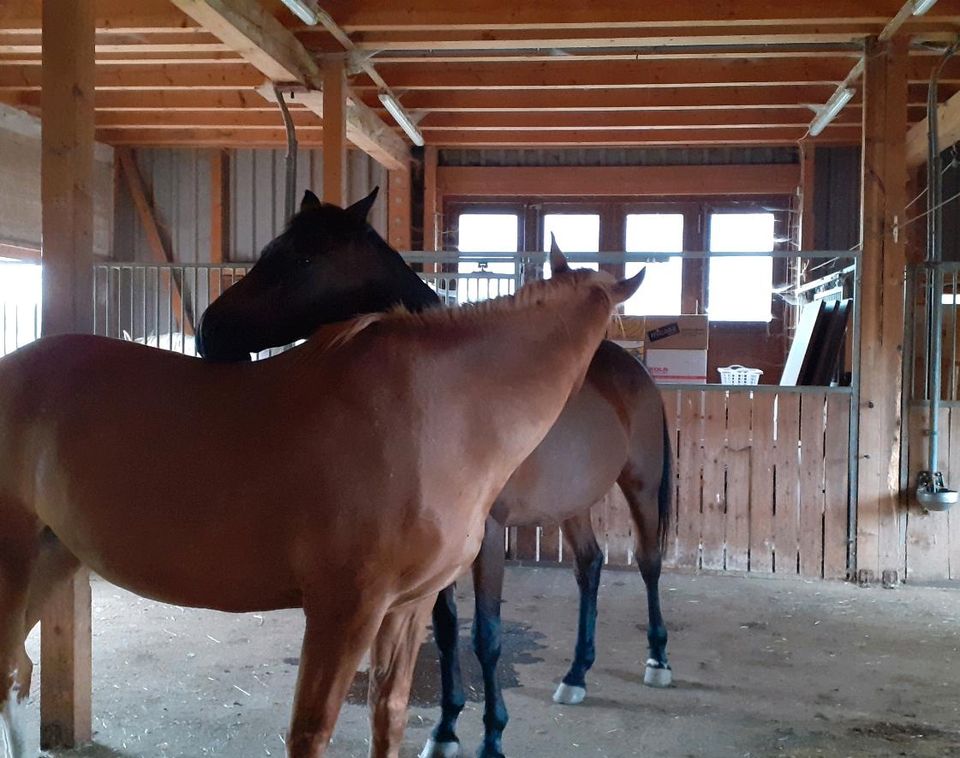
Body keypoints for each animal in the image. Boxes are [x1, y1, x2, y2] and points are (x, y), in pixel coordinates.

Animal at [1, 258, 644, 756]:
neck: (441, 410)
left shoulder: (408, 607)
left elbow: (389, 714)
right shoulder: (344, 609)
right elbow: (311, 733)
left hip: (53, 557)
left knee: (11, 673)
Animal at [199, 191, 672, 758]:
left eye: (306, 258)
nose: (209, 331)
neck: (462, 388)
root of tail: (633, 369)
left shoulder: (487, 534)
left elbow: (485, 635)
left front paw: (491, 736)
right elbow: (446, 632)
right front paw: (446, 728)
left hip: (642, 485)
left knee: (648, 563)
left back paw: (657, 660)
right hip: (573, 503)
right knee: (590, 567)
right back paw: (576, 674)